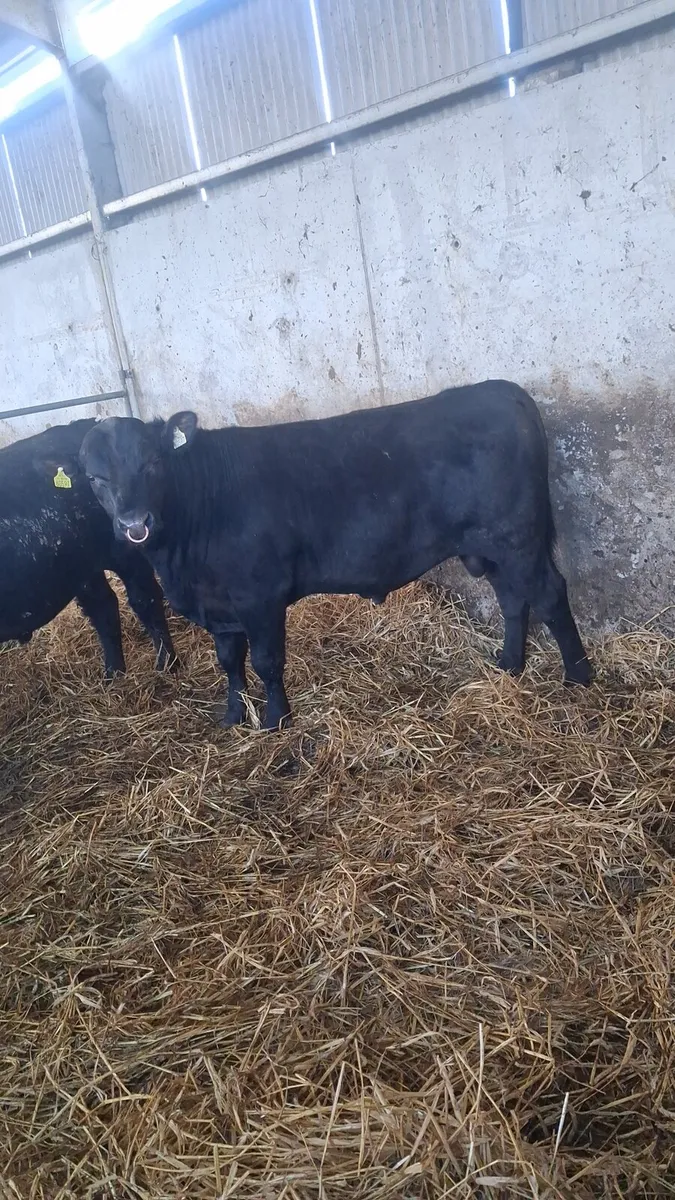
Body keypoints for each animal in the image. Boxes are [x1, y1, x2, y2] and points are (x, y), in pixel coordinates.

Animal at [0, 418, 177, 678]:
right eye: (93, 478)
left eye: (154, 461)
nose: (133, 524)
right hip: (82, 565)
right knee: (102, 606)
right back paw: (114, 674)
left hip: (121, 556)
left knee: (144, 600)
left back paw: (166, 664)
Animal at [79, 381, 591, 730]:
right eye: (94, 479)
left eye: (153, 462)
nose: (134, 524)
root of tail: (500, 389)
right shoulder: (220, 607)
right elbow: (230, 662)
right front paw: (233, 717)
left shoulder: (260, 595)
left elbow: (266, 660)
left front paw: (276, 720)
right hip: (489, 546)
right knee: (513, 599)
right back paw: (508, 666)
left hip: (517, 537)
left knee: (549, 595)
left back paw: (579, 679)